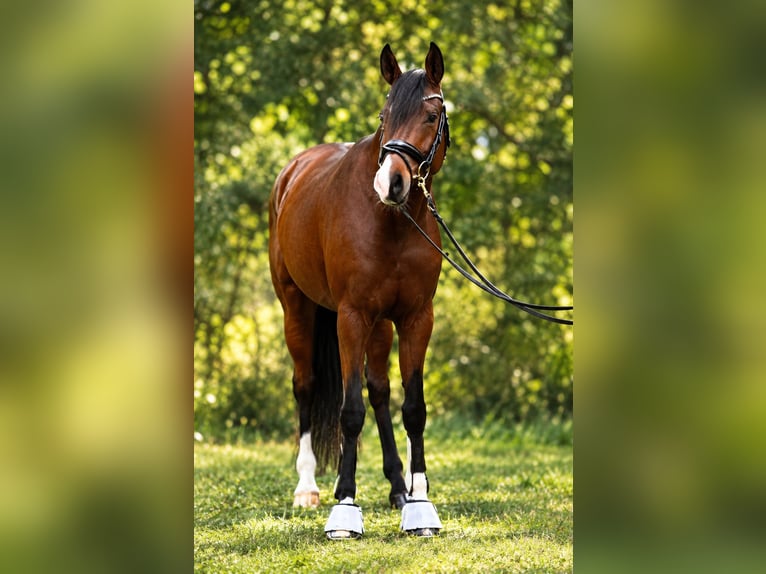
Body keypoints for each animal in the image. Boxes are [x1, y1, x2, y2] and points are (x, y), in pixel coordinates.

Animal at [268, 42, 450, 539]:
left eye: (432, 115)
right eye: (385, 116)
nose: (392, 182)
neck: (390, 222)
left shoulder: (415, 317)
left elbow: (412, 407)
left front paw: (419, 504)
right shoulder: (350, 317)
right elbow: (350, 412)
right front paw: (345, 507)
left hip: (380, 325)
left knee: (379, 391)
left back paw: (397, 488)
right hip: (298, 310)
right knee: (306, 386)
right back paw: (309, 488)